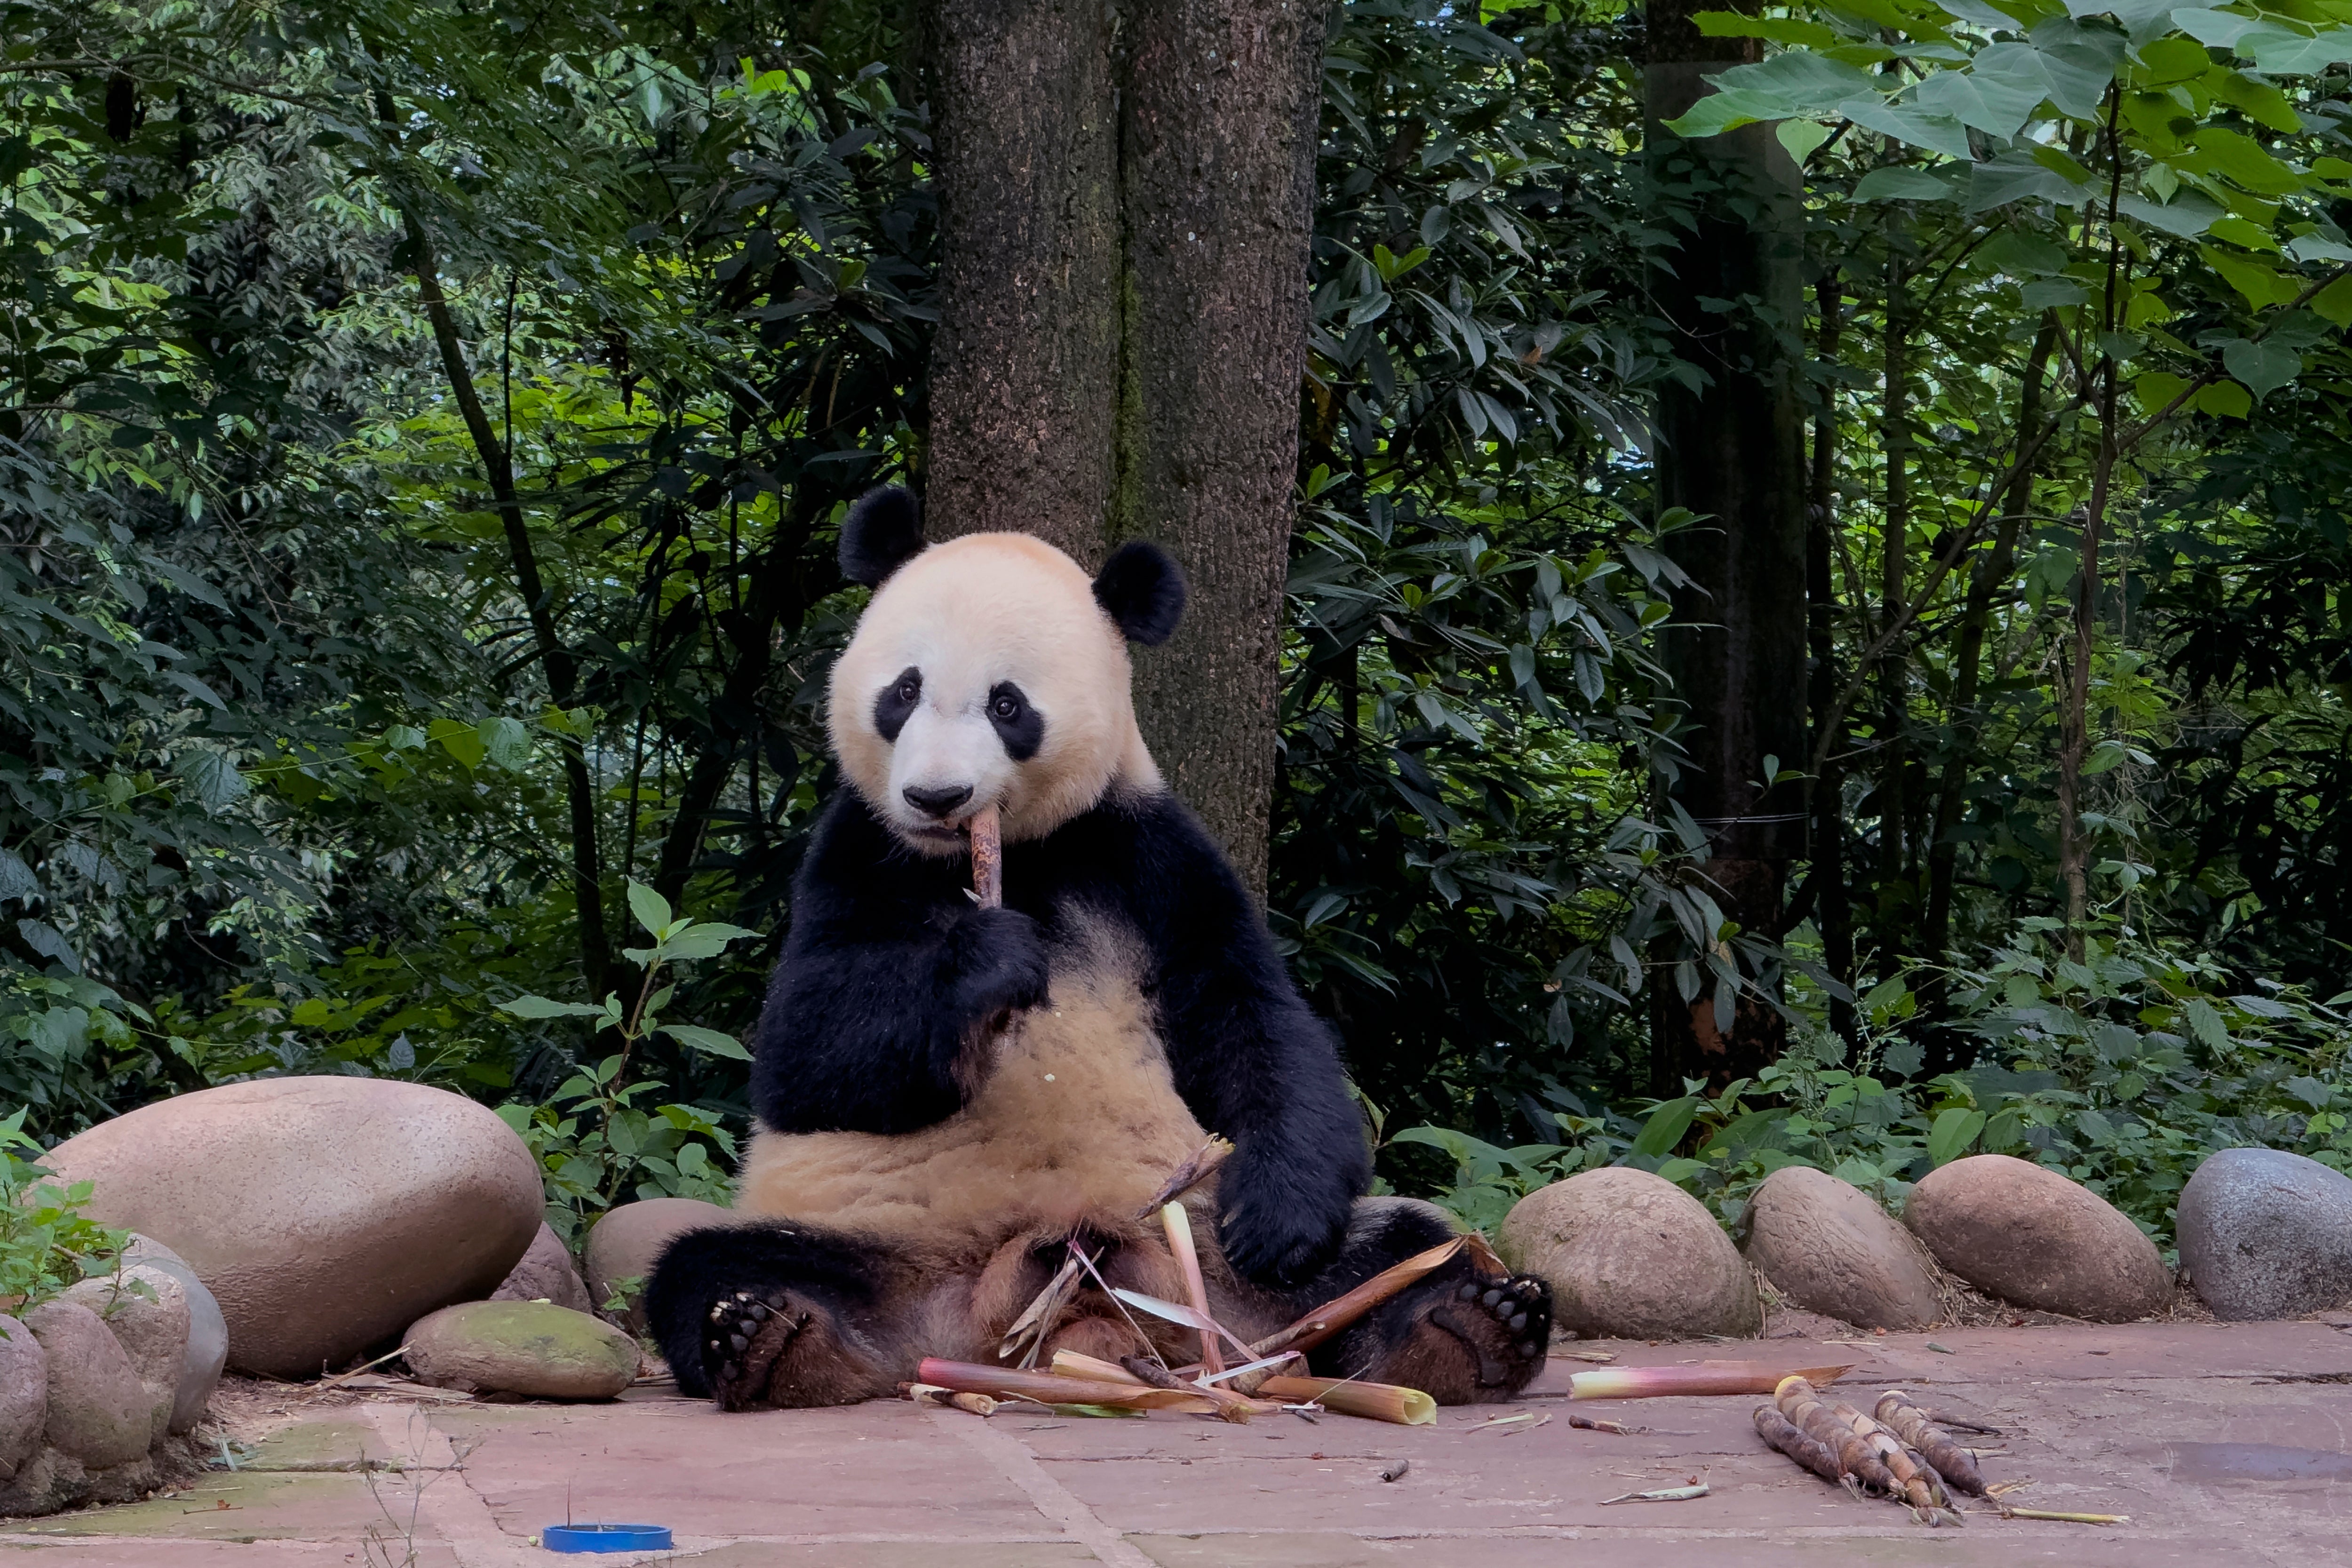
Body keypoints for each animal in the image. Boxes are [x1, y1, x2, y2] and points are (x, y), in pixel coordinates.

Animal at [645, 487, 1552, 1410]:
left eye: (1008, 705)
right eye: (903, 689)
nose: (937, 796)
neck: (1018, 851)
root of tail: (1038, 1306)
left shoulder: (1149, 852)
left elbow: (1254, 1017)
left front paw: (1280, 1218)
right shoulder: (857, 849)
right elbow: (804, 1053)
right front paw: (987, 961)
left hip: (1209, 1257)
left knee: (1405, 1244)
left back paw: (1469, 1328)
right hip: (877, 1245)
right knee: (705, 1263)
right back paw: (775, 1338)